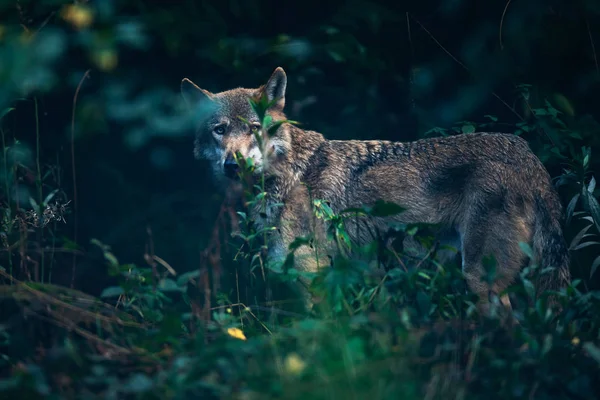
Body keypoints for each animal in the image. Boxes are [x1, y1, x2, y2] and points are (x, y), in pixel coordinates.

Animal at [182, 67, 572, 312]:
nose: (233, 165)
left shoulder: (314, 281)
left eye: (253, 128)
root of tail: (529, 157)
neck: (288, 175)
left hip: (480, 281)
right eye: (220, 130)